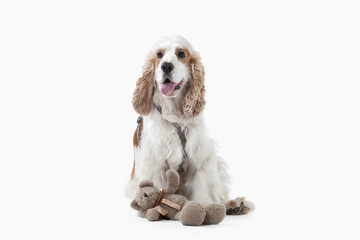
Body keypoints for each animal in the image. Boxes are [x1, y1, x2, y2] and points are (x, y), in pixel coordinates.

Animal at [125, 34, 255, 215]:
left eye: (181, 54)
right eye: (159, 55)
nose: (166, 66)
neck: (175, 115)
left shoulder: (200, 158)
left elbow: (203, 190)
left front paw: (205, 208)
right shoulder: (154, 160)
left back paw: (235, 204)